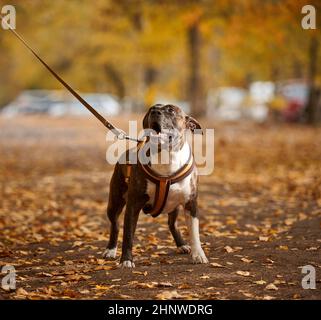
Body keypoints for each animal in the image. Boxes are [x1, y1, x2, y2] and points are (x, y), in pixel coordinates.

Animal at [102, 103, 208, 268]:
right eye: (152, 109)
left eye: (171, 110)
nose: (155, 112)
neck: (166, 156)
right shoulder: (133, 205)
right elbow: (128, 235)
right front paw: (126, 260)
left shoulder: (191, 203)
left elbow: (194, 233)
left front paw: (198, 255)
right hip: (115, 202)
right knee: (115, 225)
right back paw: (111, 250)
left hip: (174, 206)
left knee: (172, 224)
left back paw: (181, 245)